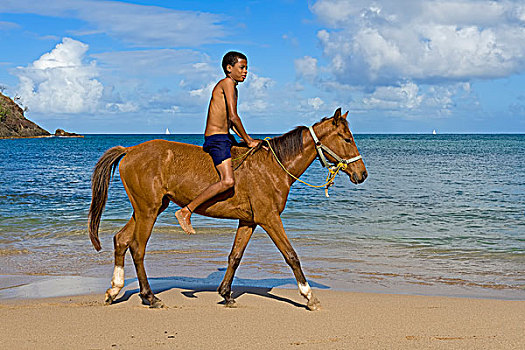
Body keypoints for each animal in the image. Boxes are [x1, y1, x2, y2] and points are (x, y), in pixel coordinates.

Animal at [88, 108, 366, 308]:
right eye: (346, 138)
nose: (362, 174)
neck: (272, 166)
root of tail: (129, 150)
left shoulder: (249, 221)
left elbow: (235, 256)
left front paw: (226, 293)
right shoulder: (269, 219)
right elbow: (291, 255)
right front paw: (308, 296)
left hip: (148, 208)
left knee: (121, 240)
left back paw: (114, 289)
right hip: (148, 210)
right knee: (137, 247)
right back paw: (149, 296)